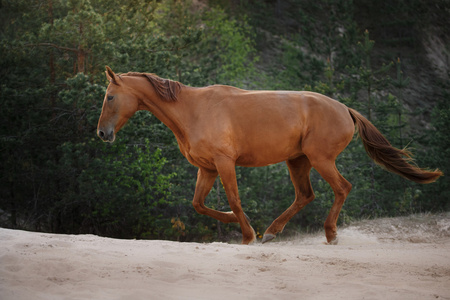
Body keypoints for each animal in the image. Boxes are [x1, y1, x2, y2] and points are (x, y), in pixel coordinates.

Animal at [97, 65, 442, 244]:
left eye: (110, 96)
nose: (102, 134)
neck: (192, 110)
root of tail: (346, 109)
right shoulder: (207, 168)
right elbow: (199, 204)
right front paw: (240, 223)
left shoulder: (224, 163)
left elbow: (234, 199)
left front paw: (247, 234)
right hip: (297, 161)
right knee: (305, 195)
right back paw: (273, 231)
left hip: (321, 160)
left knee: (342, 188)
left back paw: (329, 235)